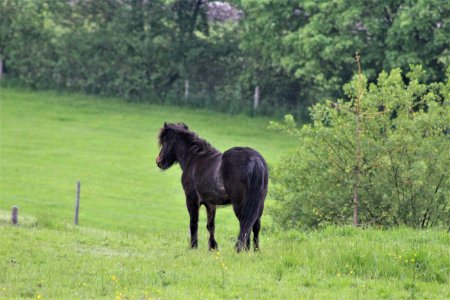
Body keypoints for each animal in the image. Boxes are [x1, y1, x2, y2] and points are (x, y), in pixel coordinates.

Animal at [156, 123, 268, 252]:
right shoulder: (210, 203)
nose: (158, 161)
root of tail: (255, 160)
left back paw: (241, 249)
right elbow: (210, 225)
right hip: (259, 203)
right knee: (255, 224)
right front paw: (212, 247)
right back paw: (254, 250)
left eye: (164, 141)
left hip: (240, 203)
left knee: (245, 223)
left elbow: (194, 223)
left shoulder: (191, 200)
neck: (194, 158)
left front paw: (193, 246)